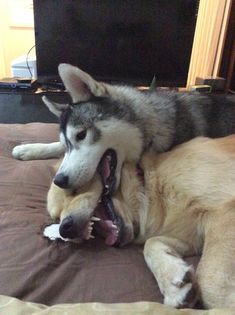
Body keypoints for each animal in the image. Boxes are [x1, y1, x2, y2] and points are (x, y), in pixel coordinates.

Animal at [46, 135, 235, 310]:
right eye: (56, 217)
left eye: (75, 191)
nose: (65, 229)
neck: (150, 186)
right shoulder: (191, 238)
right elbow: (150, 244)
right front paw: (173, 283)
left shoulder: (223, 212)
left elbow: (211, 280)